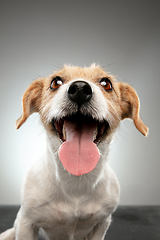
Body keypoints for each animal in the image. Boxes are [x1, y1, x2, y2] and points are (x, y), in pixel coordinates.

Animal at [0, 64, 148, 240]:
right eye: (55, 82)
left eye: (106, 84)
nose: (79, 89)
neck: (76, 180)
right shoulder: (27, 222)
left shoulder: (101, 223)